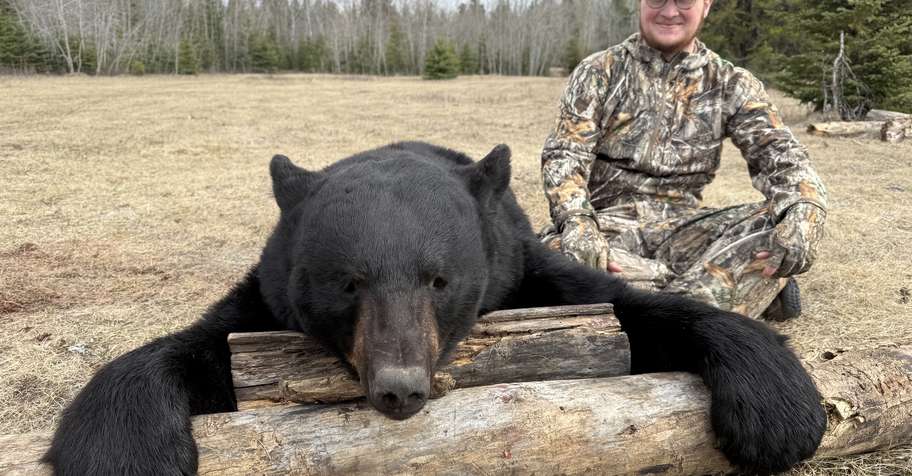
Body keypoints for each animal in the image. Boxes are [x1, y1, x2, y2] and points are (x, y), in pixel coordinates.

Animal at [44, 141, 826, 475]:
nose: (400, 387)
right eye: (348, 283)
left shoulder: (522, 269)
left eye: (438, 279)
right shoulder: (267, 295)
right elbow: (203, 345)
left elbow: (633, 311)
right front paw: (125, 450)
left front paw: (778, 410)